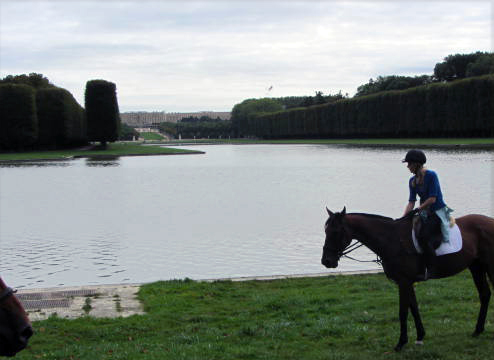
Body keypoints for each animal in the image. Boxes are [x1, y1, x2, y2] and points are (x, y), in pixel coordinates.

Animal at [320, 208, 494, 352]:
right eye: (326, 231)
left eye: (336, 231)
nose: (326, 261)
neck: (392, 239)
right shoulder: (407, 282)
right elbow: (414, 308)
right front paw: (420, 336)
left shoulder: (403, 282)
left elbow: (403, 312)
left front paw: (401, 343)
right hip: (476, 266)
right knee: (485, 294)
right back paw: (477, 330)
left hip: (488, 265)